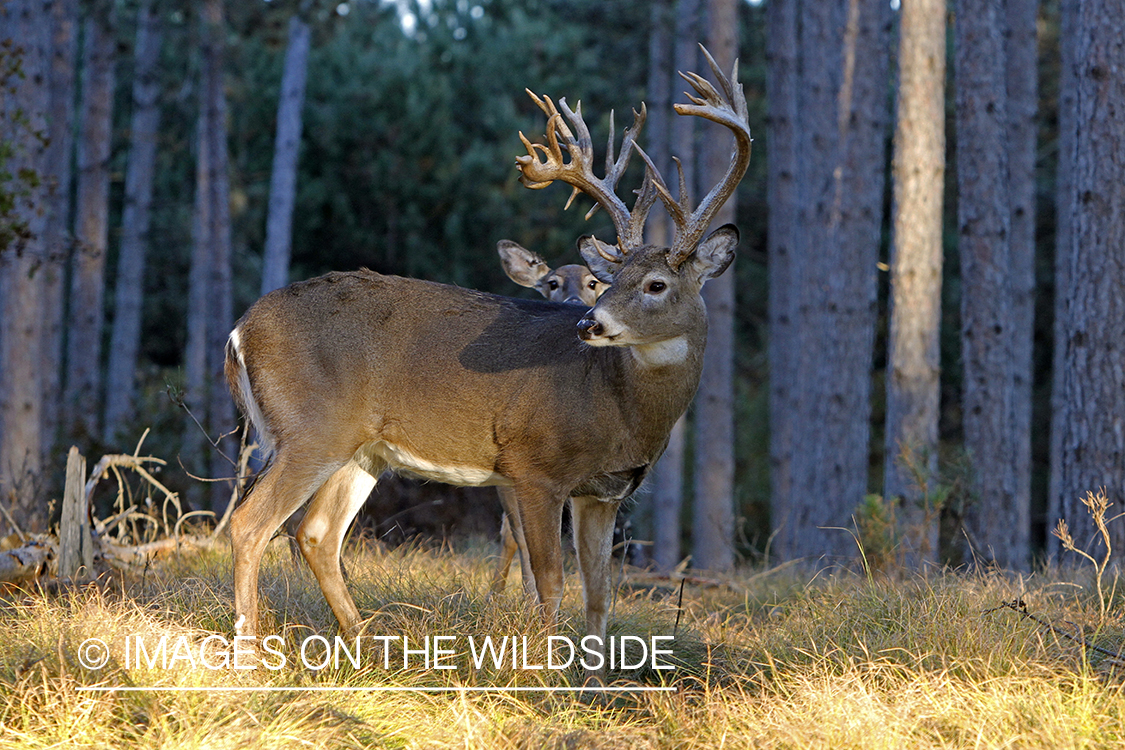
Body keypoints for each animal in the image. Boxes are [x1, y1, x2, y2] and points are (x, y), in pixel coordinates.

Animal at [225, 48, 747, 670]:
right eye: (614, 278)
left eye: (655, 284)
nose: (589, 323)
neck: (619, 405)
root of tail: (240, 329)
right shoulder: (535, 467)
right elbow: (549, 581)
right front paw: (545, 674)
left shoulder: (604, 491)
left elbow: (600, 593)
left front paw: (593, 683)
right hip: (310, 427)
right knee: (249, 524)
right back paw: (250, 658)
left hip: (361, 449)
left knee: (317, 534)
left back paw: (371, 649)